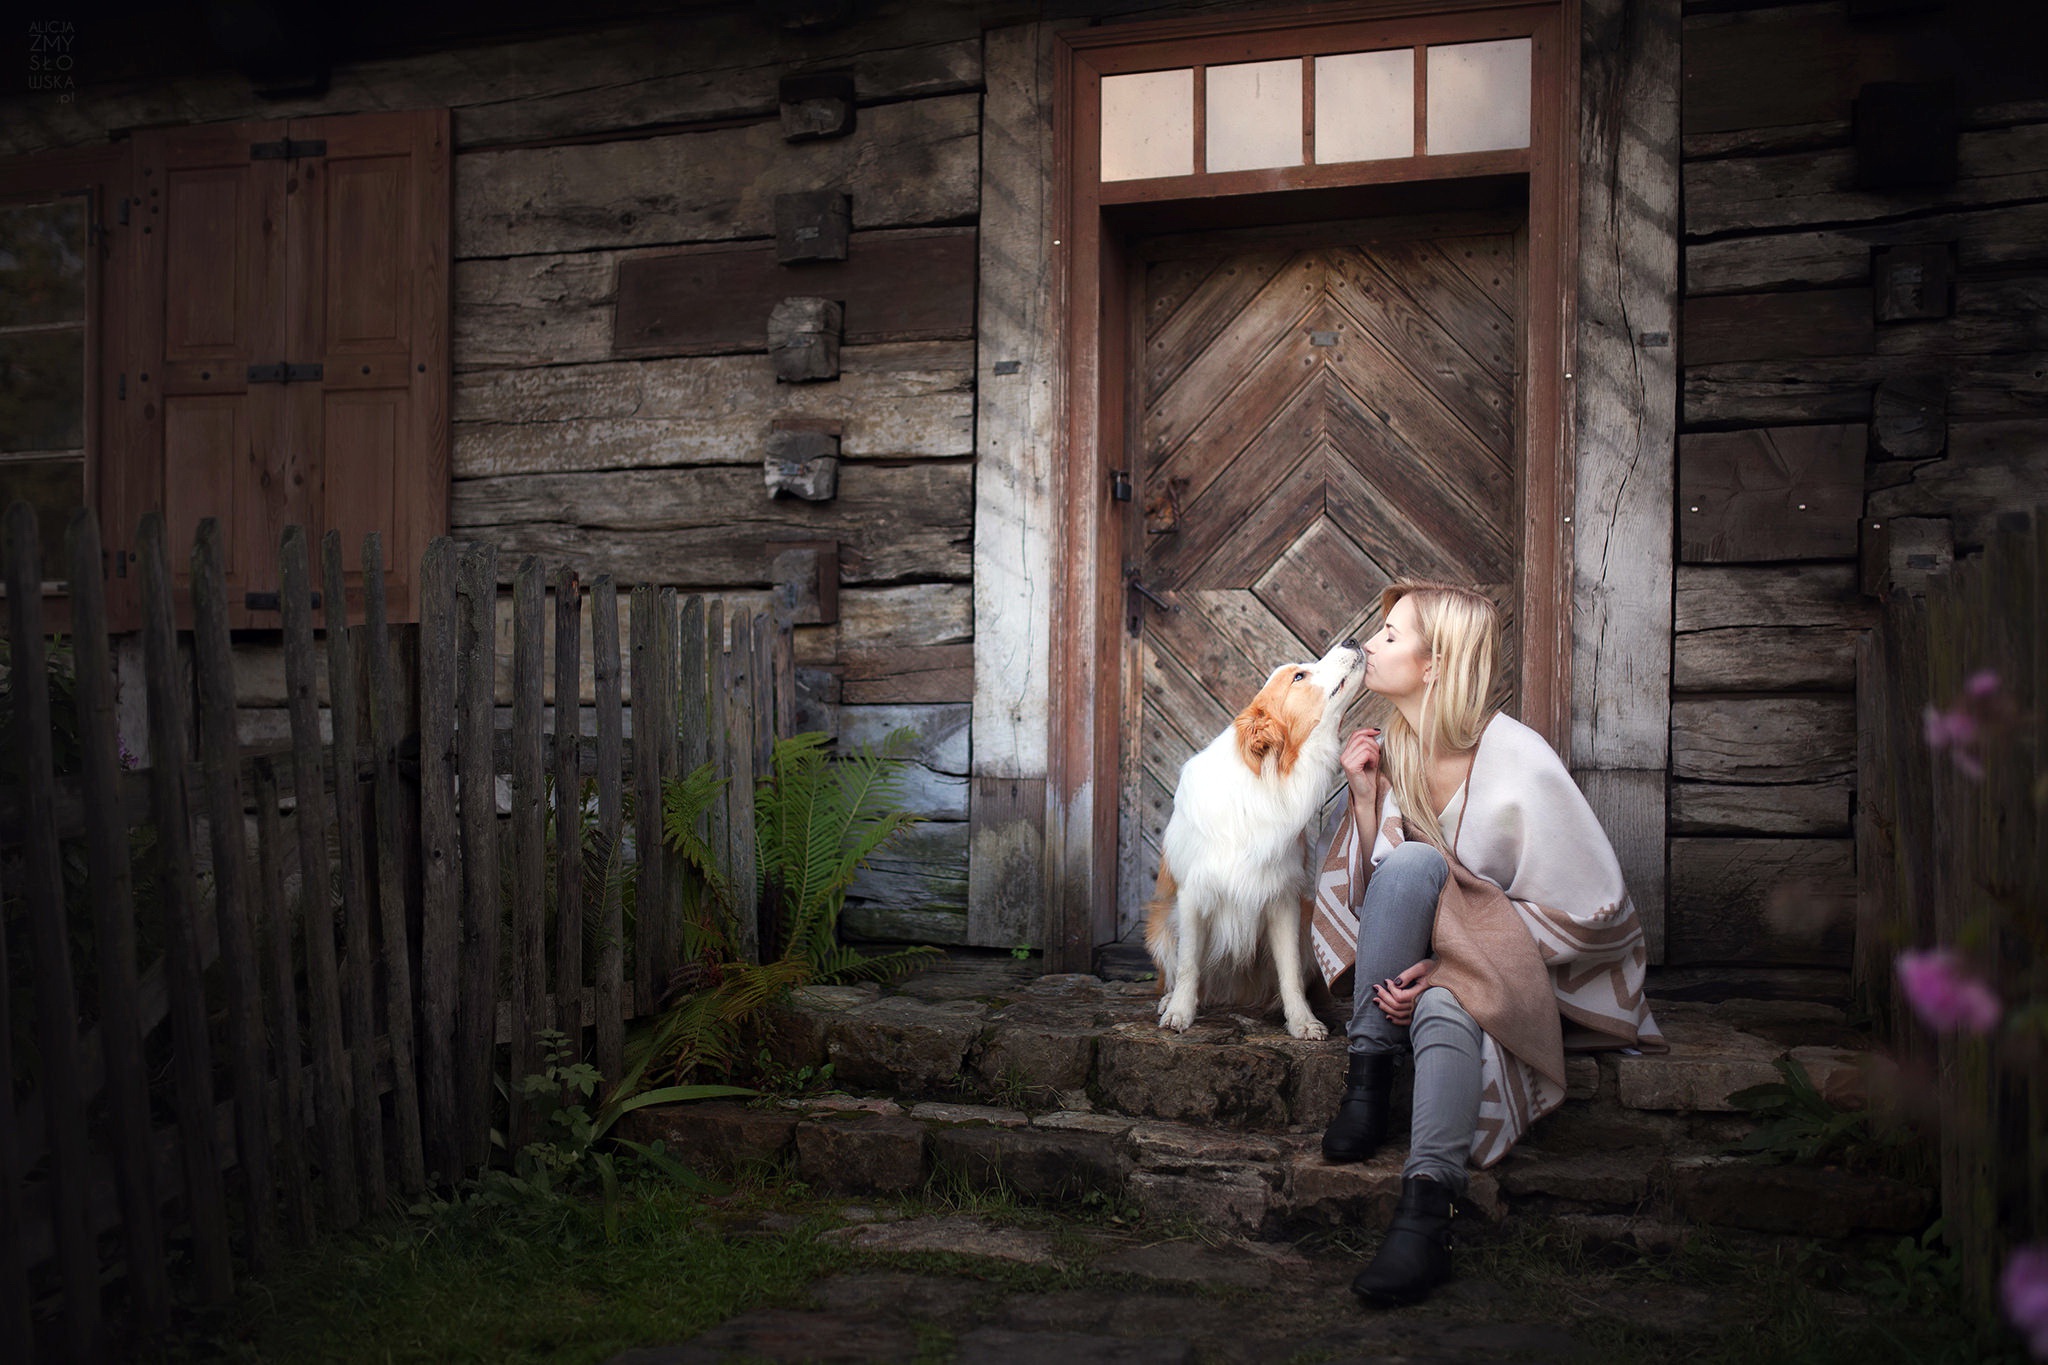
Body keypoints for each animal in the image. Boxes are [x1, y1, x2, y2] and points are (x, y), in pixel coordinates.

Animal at [1146, 642, 1368, 1035]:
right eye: (1299, 676)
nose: (1353, 642)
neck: (1265, 779)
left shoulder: (1283, 897)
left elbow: (1289, 970)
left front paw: (1302, 1021)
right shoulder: (1193, 894)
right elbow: (1188, 965)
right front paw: (1180, 1013)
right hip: (1159, 926)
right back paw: (1168, 1000)